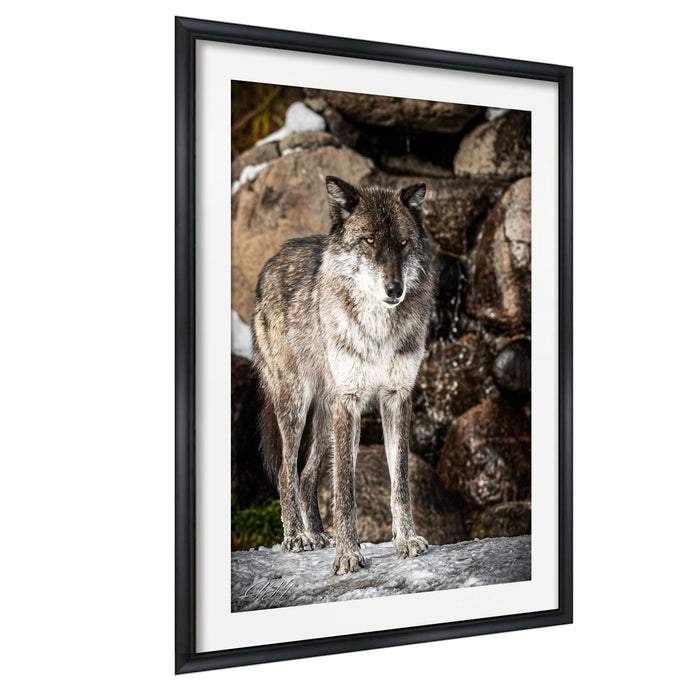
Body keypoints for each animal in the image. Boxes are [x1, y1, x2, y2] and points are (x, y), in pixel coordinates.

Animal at [251, 176, 435, 575]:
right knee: (287, 471)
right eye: (369, 241)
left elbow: (400, 481)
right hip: (296, 405)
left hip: (324, 420)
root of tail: (271, 261)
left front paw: (406, 540)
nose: (395, 289)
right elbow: (345, 488)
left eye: (402, 243)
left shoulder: (396, 398)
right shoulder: (349, 403)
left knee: (306, 475)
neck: (379, 330)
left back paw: (319, 533)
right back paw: (296, 536)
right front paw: (349, 554)